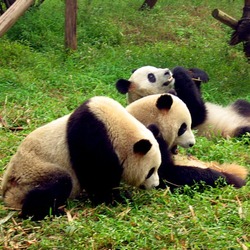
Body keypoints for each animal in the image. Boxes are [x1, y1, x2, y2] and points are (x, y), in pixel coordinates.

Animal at [1, 96, 161, 220]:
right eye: (150, 171)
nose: (156, 185)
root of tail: (6, 192)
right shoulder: (92, 138)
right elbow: (97, 177)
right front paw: (118, 199)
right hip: (32, 174)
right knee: (59, 183)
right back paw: (50, 212)